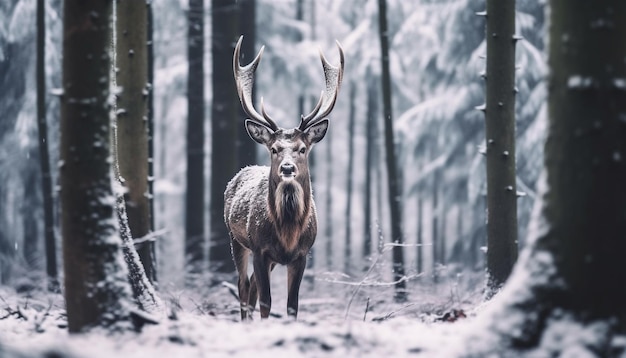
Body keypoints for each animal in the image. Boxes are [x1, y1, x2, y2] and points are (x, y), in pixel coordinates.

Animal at [223, 36, 344, 320]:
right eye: (274, 148)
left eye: (302, 148)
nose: (287, 168)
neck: (288, 232)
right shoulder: (260, 248)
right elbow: (266, 302)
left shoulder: (302, 255)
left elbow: (292, 305)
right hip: (235, 239)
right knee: (243, 286)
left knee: (251, 287)